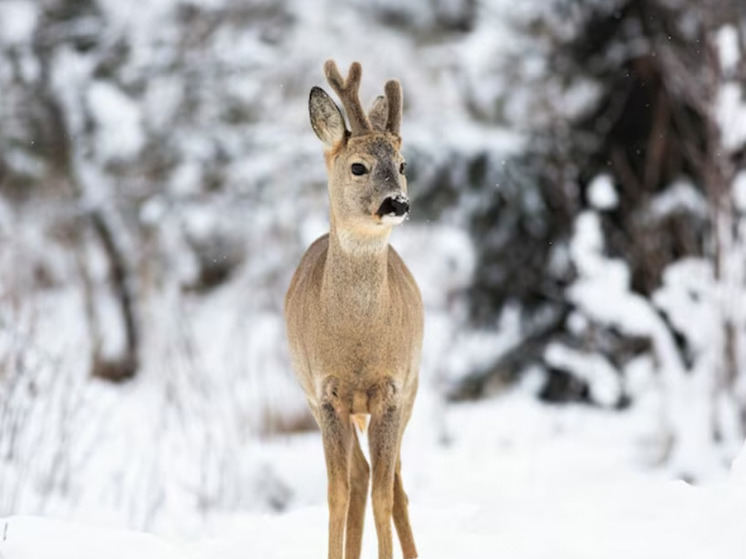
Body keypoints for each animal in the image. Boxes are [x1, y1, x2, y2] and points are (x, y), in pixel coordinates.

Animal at [284, 60, 424, 559]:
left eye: (402, 165)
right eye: (358, 167)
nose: (397, 202)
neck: (357, 342)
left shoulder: (391, 390)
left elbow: (385, 494)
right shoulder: (325, 394)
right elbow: (337, 493)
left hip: (413, 390)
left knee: (395, 486)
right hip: (314, 399)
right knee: (361, 477)